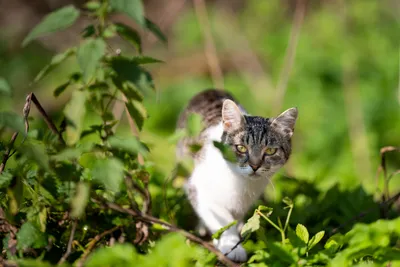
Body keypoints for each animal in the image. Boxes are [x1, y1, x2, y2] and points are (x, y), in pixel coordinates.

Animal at [176, 89, 296, 262]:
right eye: (241, 148)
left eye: (270, 151)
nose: (255, 166)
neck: (239, 181)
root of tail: (208, 90)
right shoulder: (199, 190)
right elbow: (223, 221)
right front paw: (231, 247)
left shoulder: (242, 203)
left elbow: (236, 218)